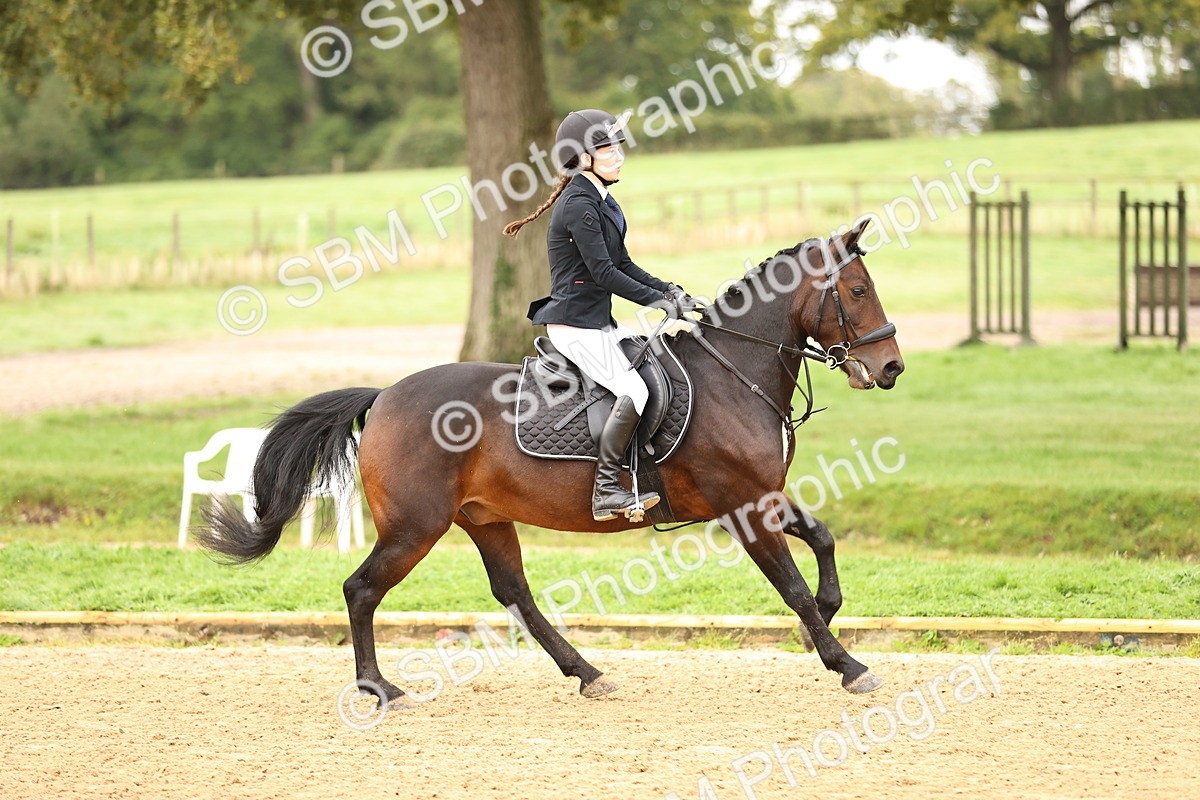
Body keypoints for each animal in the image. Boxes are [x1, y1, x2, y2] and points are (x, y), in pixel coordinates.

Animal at [195, 218, 904, 707]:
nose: (892, 367)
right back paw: (380, 689)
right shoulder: (743, 508)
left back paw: (587, 674)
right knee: (361, 589)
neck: (734, 373)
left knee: (517, 597)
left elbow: (823, 539)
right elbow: (792, 588)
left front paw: (828, 617)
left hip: (484, 518)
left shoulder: (762, 497)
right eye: (857, 290)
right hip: (415, 526)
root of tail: (386, 394)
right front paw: (846, 665)